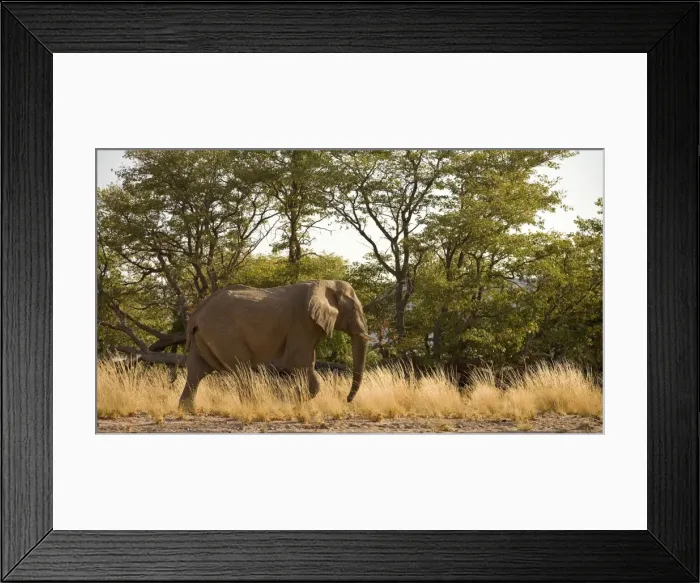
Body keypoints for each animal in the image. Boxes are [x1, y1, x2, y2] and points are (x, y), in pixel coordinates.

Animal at [178, 280, 369, 412]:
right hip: (224, 333)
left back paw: (187, 411)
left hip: (205, 336)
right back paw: (254, 407)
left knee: (196, 370)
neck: (324, 282)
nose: (347, 400)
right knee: (242, 369)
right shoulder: (302, 322)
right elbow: (297, 362)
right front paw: (289, 401)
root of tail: (196, 314)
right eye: (354, 309)